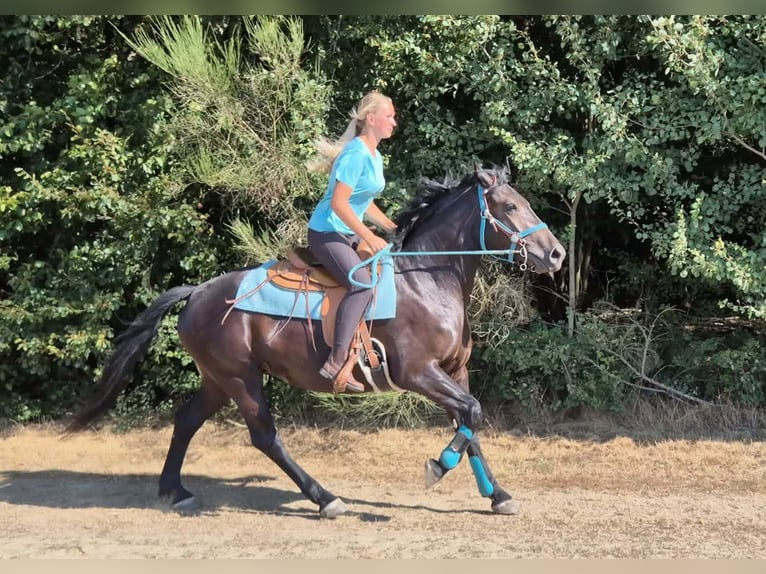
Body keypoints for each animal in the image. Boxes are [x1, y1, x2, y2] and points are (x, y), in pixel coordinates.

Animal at [67, 166, 565, 518]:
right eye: (509, 206)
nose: (556, 253)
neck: (427, 279)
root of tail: (198, 292)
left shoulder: (454, 372)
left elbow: (471, 424)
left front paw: (498, 495)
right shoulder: (418, 373)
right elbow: (472, 416)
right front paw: (438, 466)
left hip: (218, 379)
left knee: (187, 419)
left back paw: (174, 489)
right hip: (241, 379)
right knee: (265, 437)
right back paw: (325, 498)